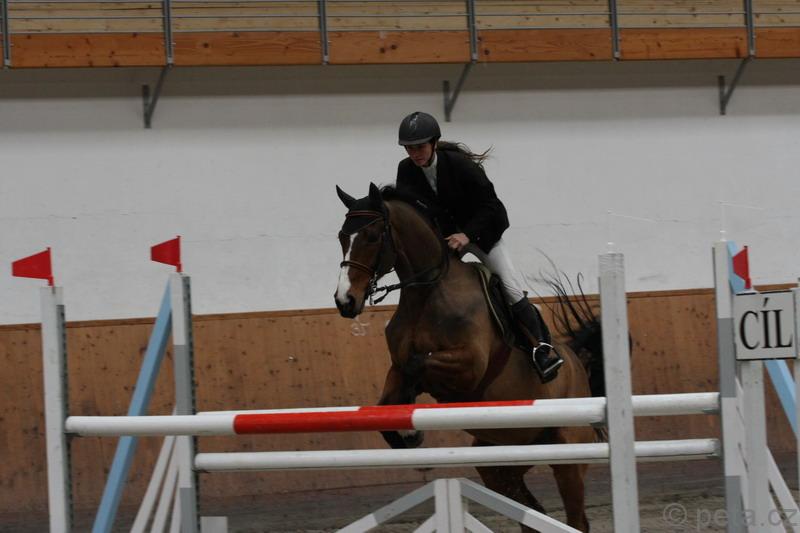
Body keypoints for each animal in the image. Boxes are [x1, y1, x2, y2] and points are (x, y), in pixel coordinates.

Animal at [334, 183, 604, 532]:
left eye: (371, 236)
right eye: (342, 236)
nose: (345, 301)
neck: (428, 292)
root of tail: (577, 364)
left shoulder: (469, 367)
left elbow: (418, 364)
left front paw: (411, 430)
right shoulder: (396, 367)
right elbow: (388, 399)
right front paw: (405, 433)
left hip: (568, 451)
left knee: (576, 518)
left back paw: (547, 359)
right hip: (503, 457)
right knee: (530, 509)